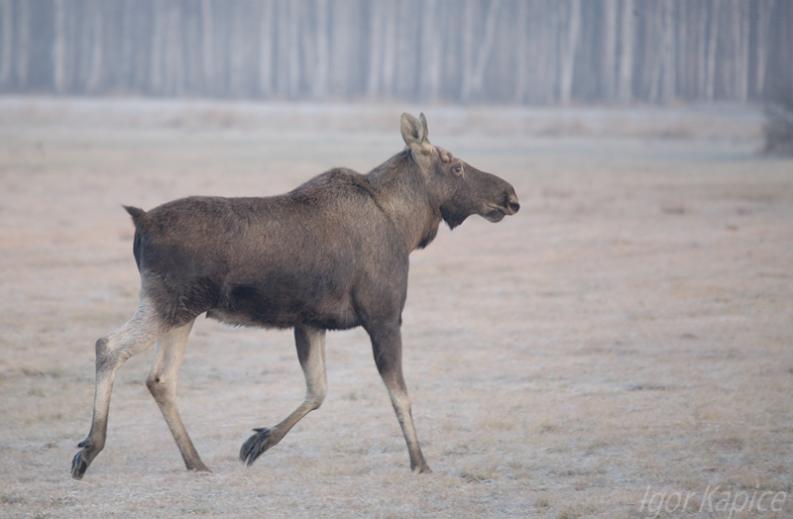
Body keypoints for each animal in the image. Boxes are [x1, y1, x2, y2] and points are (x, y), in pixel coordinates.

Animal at [71, 112, 520, 480]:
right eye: (455, 165)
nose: (510, 195)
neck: (405, 226)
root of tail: (140, 222)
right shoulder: (384, 315)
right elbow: (399, 395)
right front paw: (420, 462)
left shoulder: (311, 321)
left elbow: (317, 391)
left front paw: (257, 441)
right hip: (167, 303)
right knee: (108, 345)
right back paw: (89, 449)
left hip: (184, 312)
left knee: (160, 378)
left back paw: (195, 461)